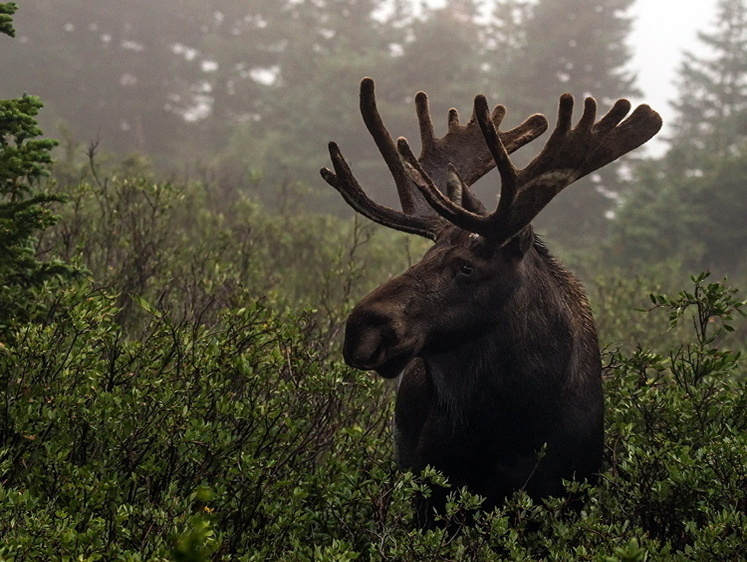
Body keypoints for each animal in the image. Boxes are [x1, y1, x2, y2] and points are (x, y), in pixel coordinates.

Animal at [320, 76, 660, 524]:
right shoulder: (433, 488)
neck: (514, 425)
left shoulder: (567, 493)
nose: (362, 328)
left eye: (466, 267)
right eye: (424, 256)